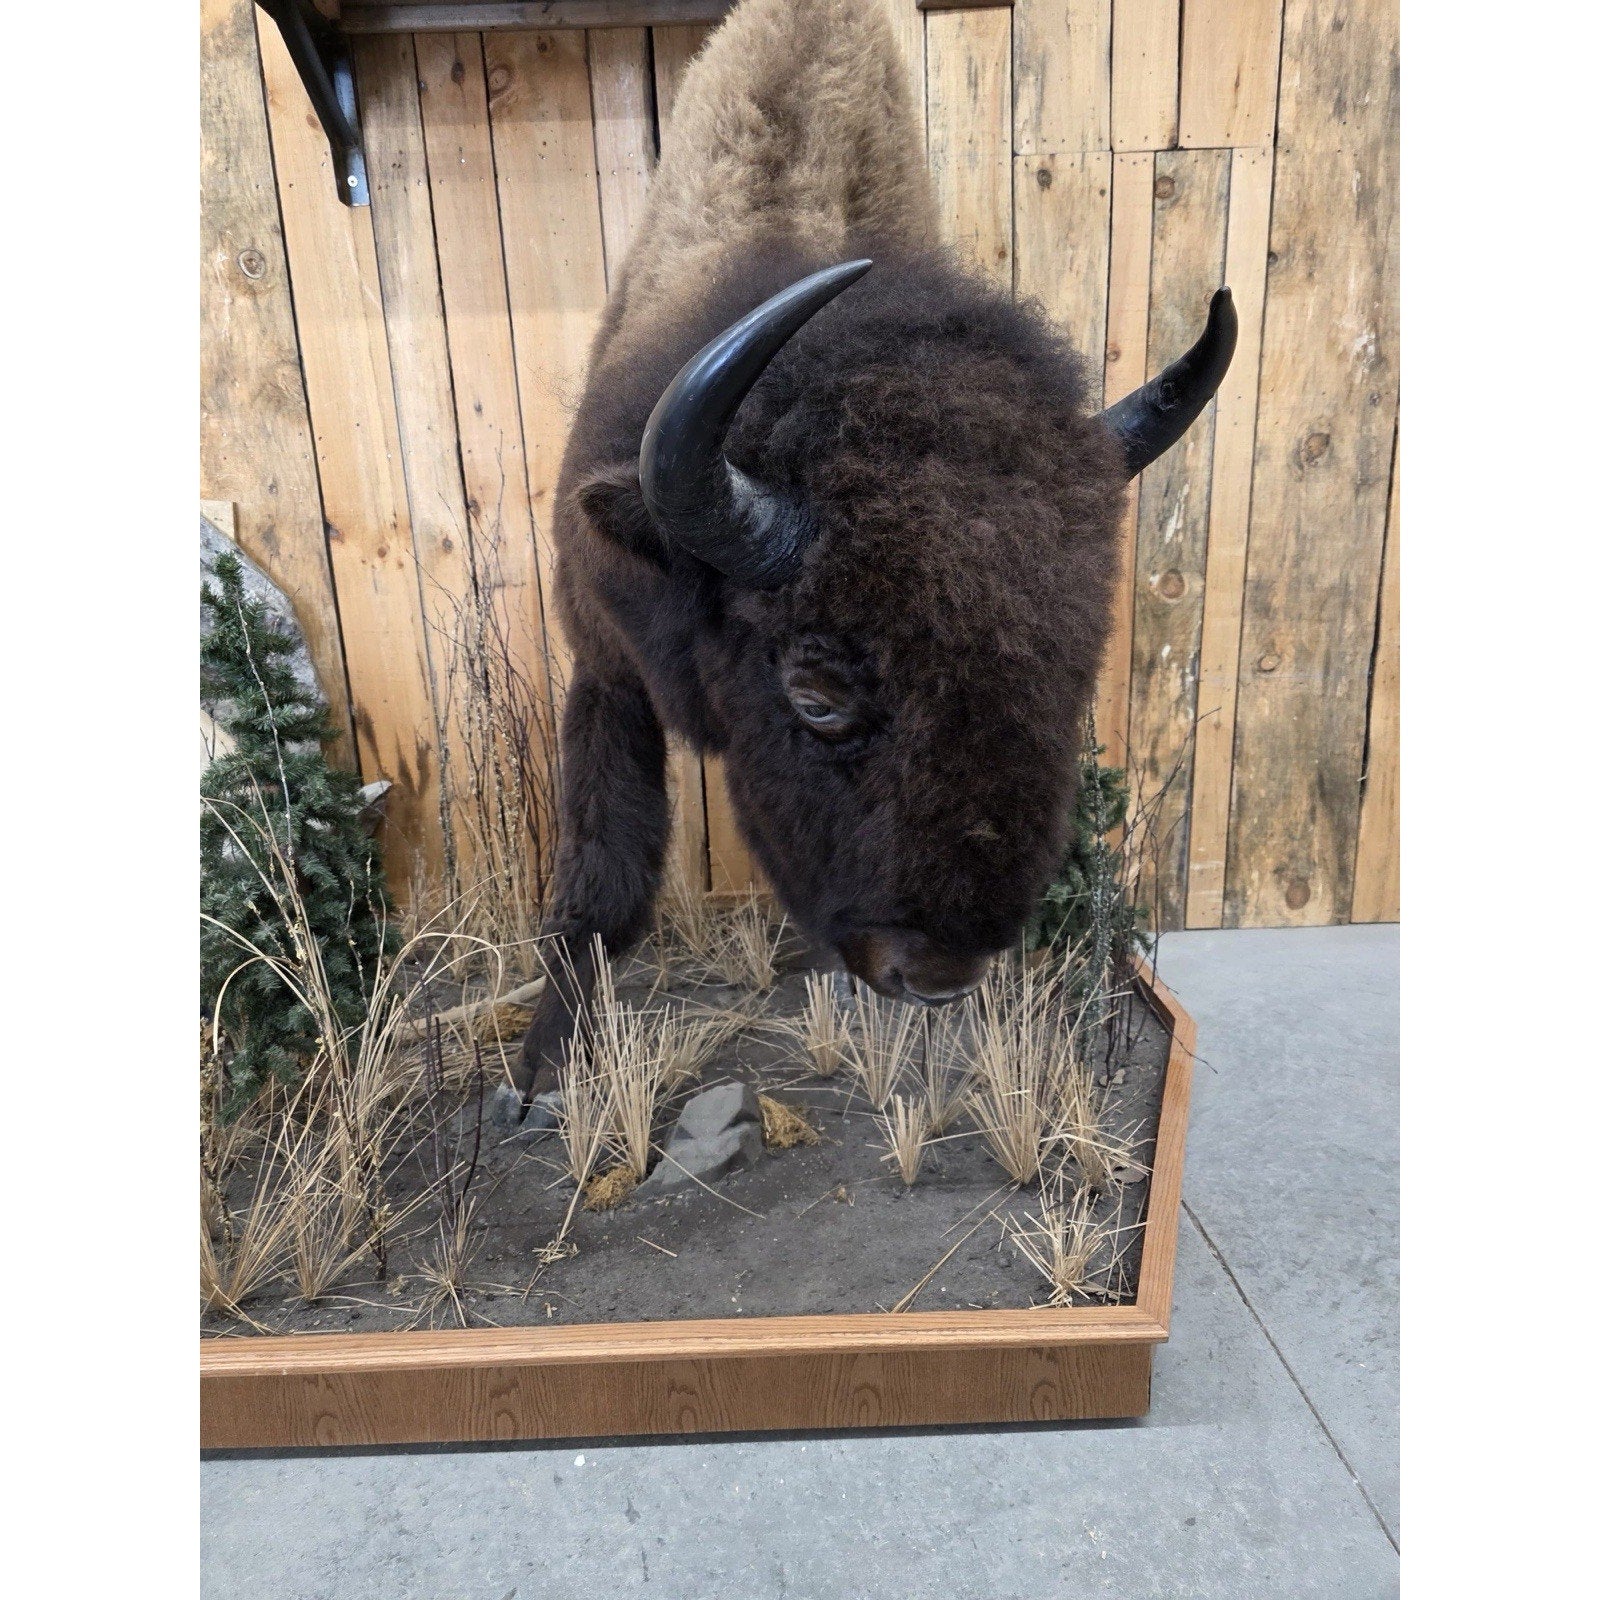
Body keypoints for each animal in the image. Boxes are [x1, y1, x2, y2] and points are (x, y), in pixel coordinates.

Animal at [506, 0, 1235, 1115]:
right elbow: (603, 878)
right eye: (814, 693)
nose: (935, 974)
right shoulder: (604, 668)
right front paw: (538, 1078)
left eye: (1072, 669)